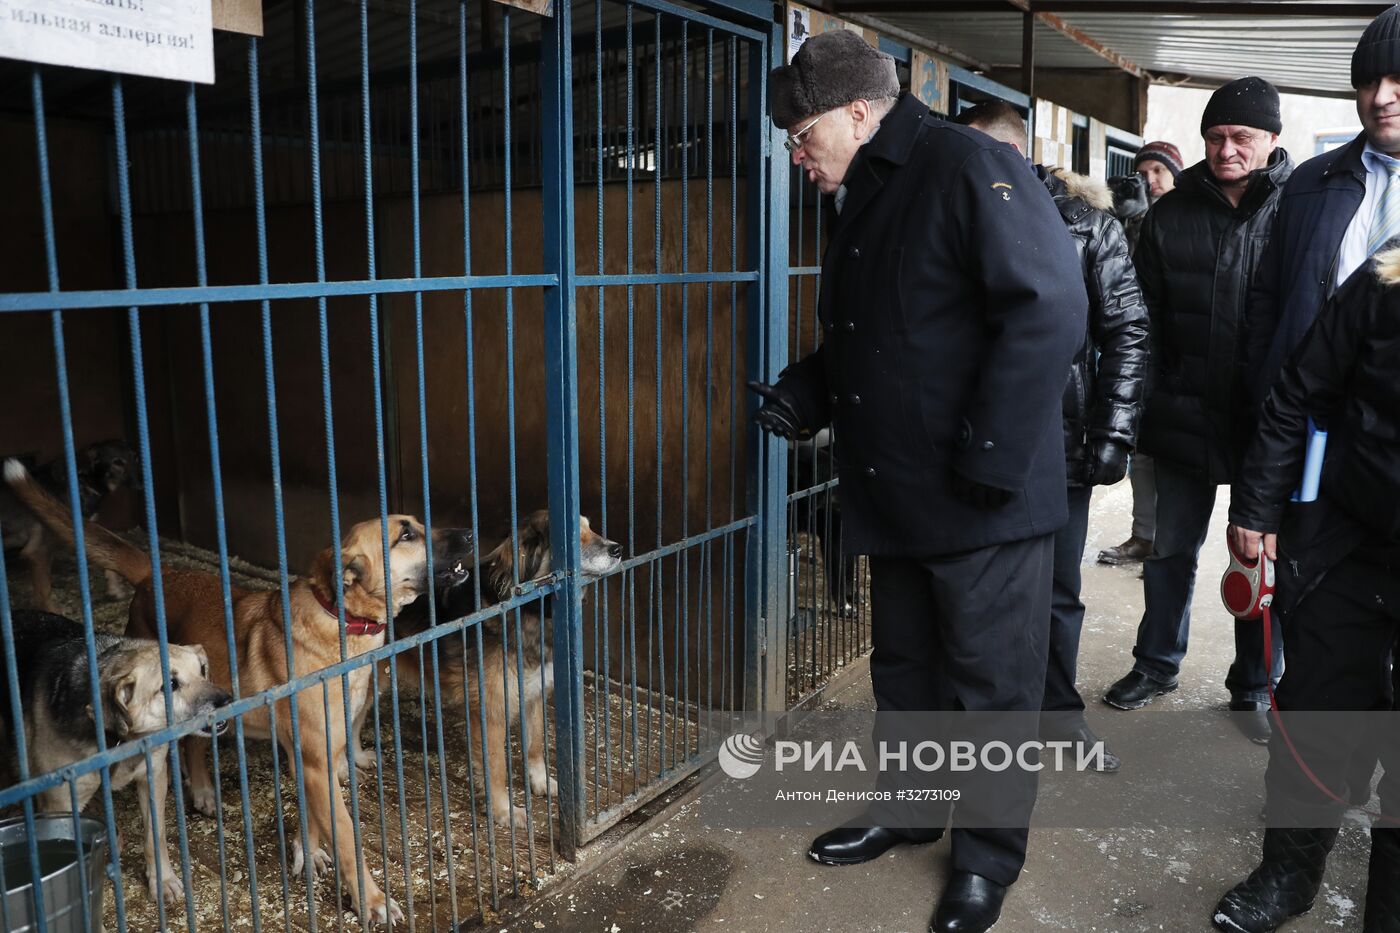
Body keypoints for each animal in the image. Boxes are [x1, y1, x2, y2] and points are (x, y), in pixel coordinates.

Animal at [0, 602, 228, 902]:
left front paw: (162, 881)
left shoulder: (153, 777)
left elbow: (155, 836)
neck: (120, 738)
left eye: (202, 670)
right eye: (169, 686)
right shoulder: (61, 804)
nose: (227, 700)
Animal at [1, 437, 139, 610]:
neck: (82, 483)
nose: (139, 484)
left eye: (135, 457)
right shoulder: (38, 551)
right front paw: (53, 612)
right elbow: (44, 592)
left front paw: (115, 590)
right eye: (117, 462)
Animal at [389, 512, 618, 823]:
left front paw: (540, 782)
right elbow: (496, 768)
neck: (529, 612)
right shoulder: (491, 711)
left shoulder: (534, 693)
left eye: (590, 528)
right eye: (572, 535)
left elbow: (535, 745)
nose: (618, 549)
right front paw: (503, 811)